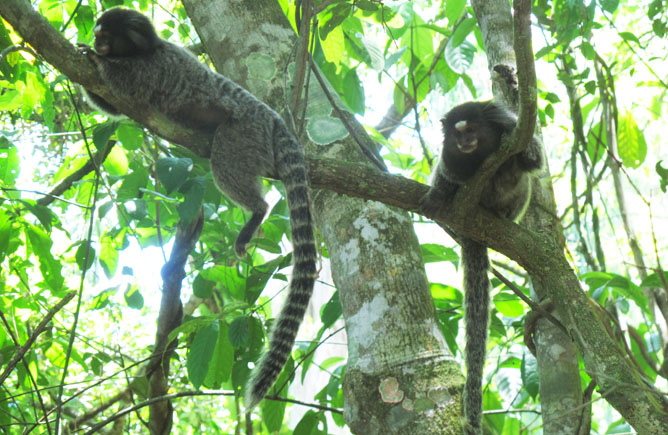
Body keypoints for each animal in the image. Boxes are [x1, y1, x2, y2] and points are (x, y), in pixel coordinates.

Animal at [77, 9, 318, 412]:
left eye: (104, 36)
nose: (98, 44)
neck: (145, 50)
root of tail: (272, 116)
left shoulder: (154, 69)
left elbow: (124, 86)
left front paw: (94, 59)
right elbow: (113, 103)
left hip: (242, 132)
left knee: (227, 162)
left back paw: (257, 212)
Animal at [422, 101, 544, 432]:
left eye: (472, 129)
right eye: (457, 134)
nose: (465, 142)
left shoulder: (514, 130)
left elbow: (534, 161)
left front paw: (526, 154)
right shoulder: (449, 160)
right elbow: (444, 174)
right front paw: (440, 193)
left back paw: (499, 210)